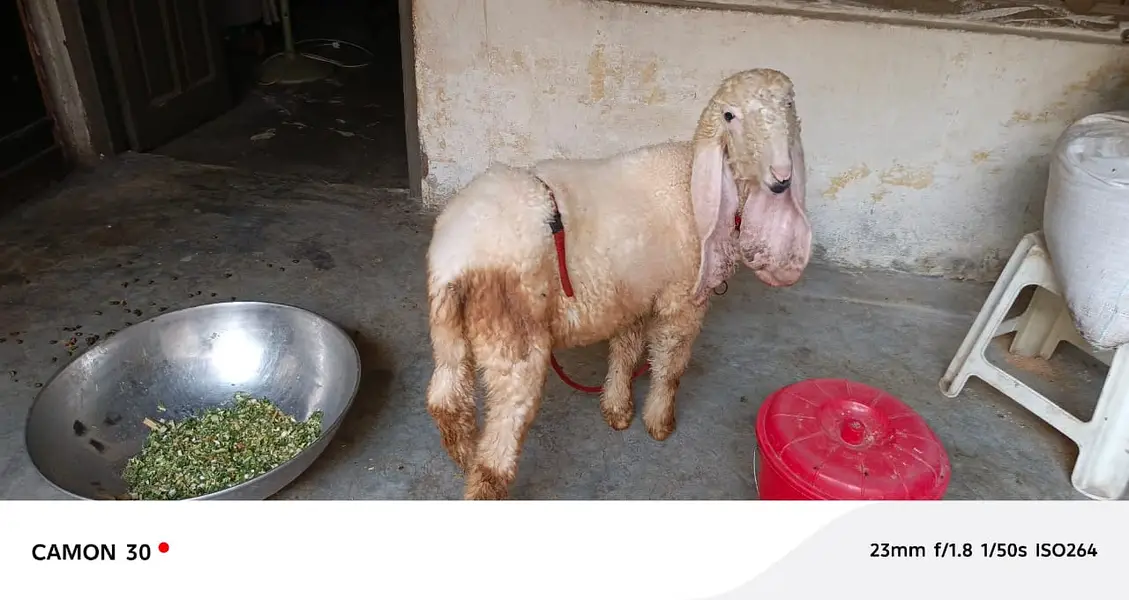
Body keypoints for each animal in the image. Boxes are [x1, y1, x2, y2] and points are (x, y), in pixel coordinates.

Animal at [425, 68, 813, 500]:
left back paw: (463, 456)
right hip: (514, 343)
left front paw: (616, 409)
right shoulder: (680, 298)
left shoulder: (633, 295)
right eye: (730, 116)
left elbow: (625, 352)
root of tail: (457, 253)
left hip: (449, 333)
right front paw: (659, 422)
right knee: (497, 450)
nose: (781, 179)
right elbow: (669, 365)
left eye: (790, 104)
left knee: (445, 401)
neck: (689, 179)